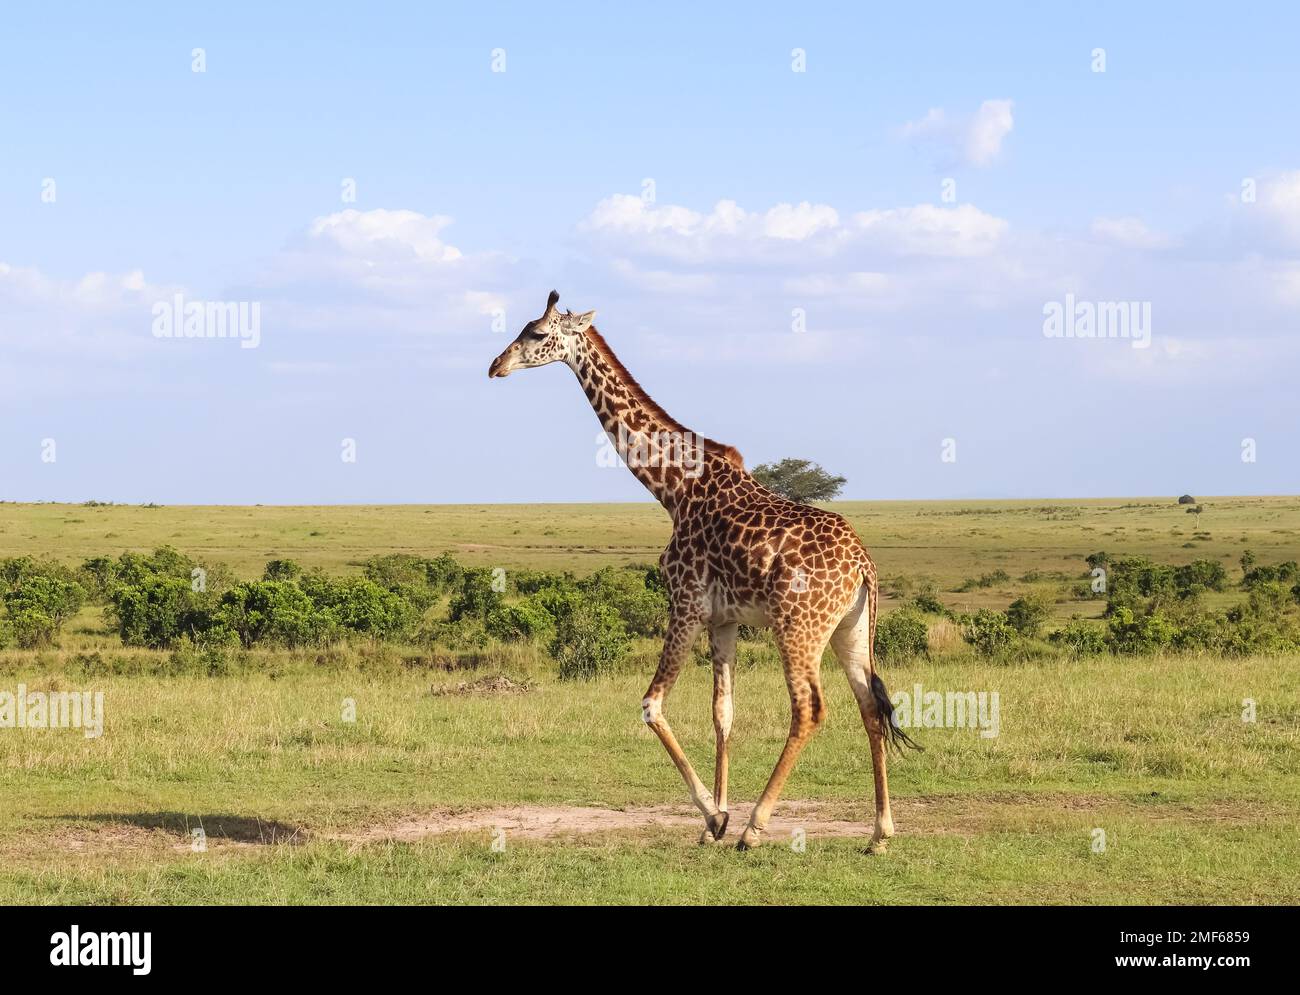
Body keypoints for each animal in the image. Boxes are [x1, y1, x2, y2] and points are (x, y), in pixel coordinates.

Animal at [488, 291, 925, 848]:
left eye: (538, 333)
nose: (496, 366)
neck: (673, 487)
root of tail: (863, 566)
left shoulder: (686, 603)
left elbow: (651, 705)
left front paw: (717, 818)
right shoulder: (724, 620)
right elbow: (723, 714)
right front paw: (711, 822)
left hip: (798, 626)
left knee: (809, 709)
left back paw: (756, 828)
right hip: (851, 627)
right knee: (870, 707)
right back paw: (879, 833)